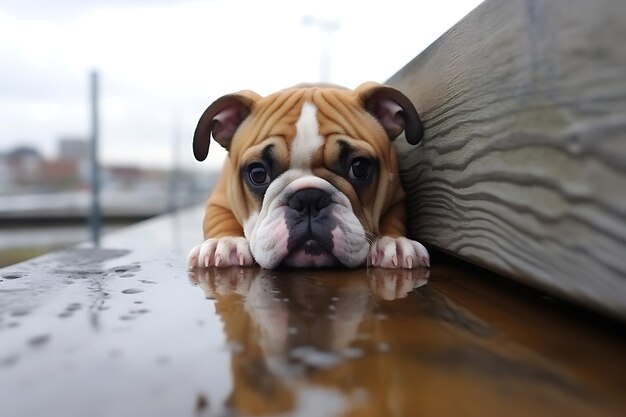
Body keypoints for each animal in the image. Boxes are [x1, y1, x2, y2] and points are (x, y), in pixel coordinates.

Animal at [186, 83, 428, 268]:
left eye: (359, 167)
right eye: (258, 173)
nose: (309, 198)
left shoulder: (397, 197)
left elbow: (393, 217)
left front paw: (393, 243)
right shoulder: (220, 200)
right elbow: (220, 218)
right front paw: (224, 243)